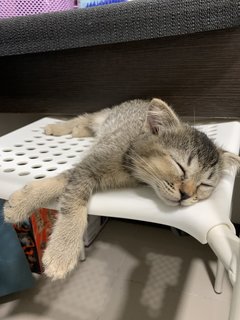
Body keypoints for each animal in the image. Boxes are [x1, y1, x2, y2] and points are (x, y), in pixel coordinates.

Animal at [3, 98, 240, 280]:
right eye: (179, 166)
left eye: (204, 185)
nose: (186, 195)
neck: (130, 166)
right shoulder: (89, 165)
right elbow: (72, 199)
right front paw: (63, 250)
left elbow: (66, 183)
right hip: (103, 116)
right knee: (84, 117)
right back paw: (59, 127)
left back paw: (79, 132)